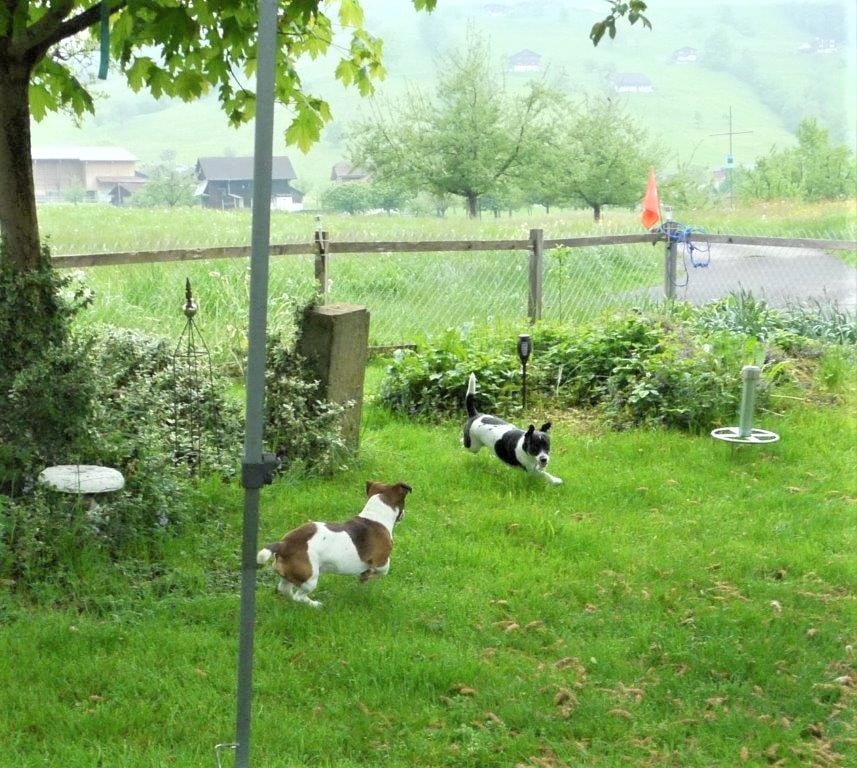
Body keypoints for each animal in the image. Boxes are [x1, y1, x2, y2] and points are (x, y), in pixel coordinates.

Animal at [256, 480, 412, 608]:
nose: (404, 515)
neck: (375, 515)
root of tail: (284, 544)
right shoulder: (381, 562)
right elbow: (382, 571)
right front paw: (367, 576)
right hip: (310, 578)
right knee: (299, 596)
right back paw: (315, 604)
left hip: (289, 574)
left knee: (285, 589)